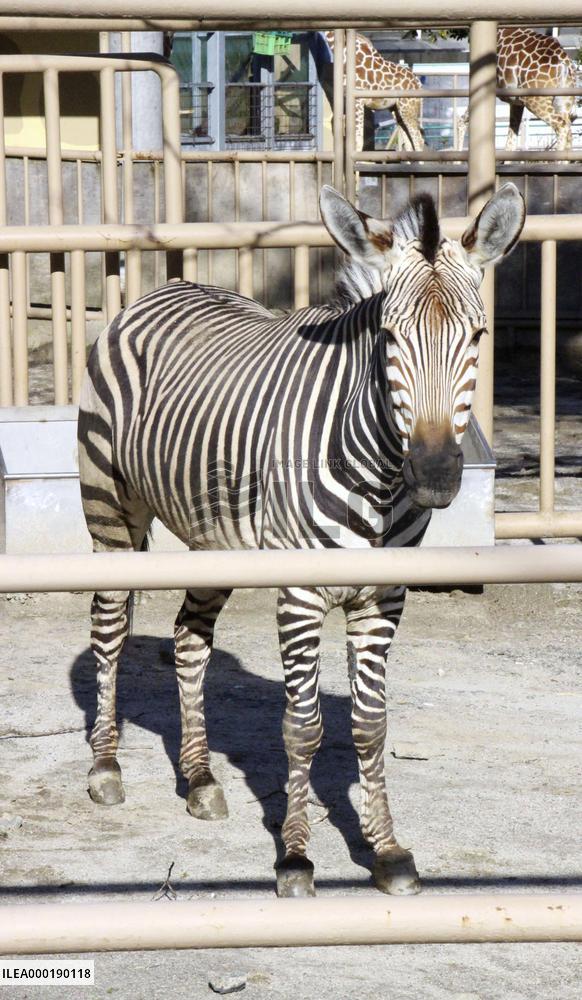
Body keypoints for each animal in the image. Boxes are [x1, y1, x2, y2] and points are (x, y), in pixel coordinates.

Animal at [78, 182, 525, 898]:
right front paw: (294, 857)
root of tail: (166, 285)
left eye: (478, 336)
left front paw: (387, 850)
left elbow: (369, 726)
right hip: (111, 513)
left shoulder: (382, 598)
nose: (434, 474)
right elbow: (302, 728)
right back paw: (105, 769)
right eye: (389, 337)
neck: (378, 473)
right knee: (110, 632)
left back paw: (200, 779)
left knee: (188, 641)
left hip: (219, 542)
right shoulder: (300, 593)